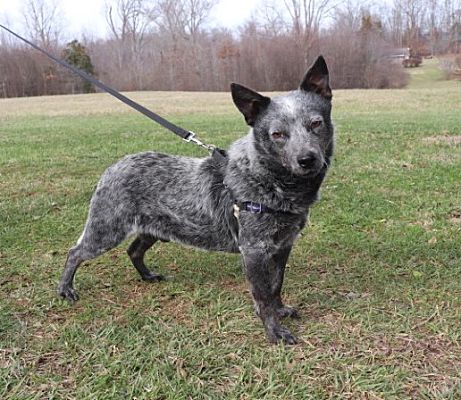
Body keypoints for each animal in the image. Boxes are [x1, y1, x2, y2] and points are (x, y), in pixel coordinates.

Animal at [59, 55, 336, 344]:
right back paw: (66, 289)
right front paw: (274, 330)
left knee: (133, 250)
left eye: (315, 123)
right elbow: (263, 296)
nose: (307, 159)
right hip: (106, 231)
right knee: (75, 252)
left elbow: (275, 285)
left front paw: (281, 310)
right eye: (278, 134)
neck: (270, 182)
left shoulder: (283, 246)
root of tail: (113, 167)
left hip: (153, 229)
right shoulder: (254, 251)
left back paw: (147, 275)